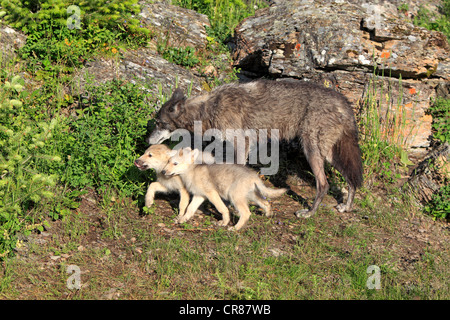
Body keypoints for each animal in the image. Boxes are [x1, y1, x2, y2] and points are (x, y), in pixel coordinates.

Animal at [149, 79, 364, 219]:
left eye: (159, 123)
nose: (147, 139)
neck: (209, 108)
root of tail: (344, 103)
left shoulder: (241, 144)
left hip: (312, 151)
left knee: (324, 184)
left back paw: (309, 213)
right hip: (330, 155)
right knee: (351, 181)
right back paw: (346, 207)